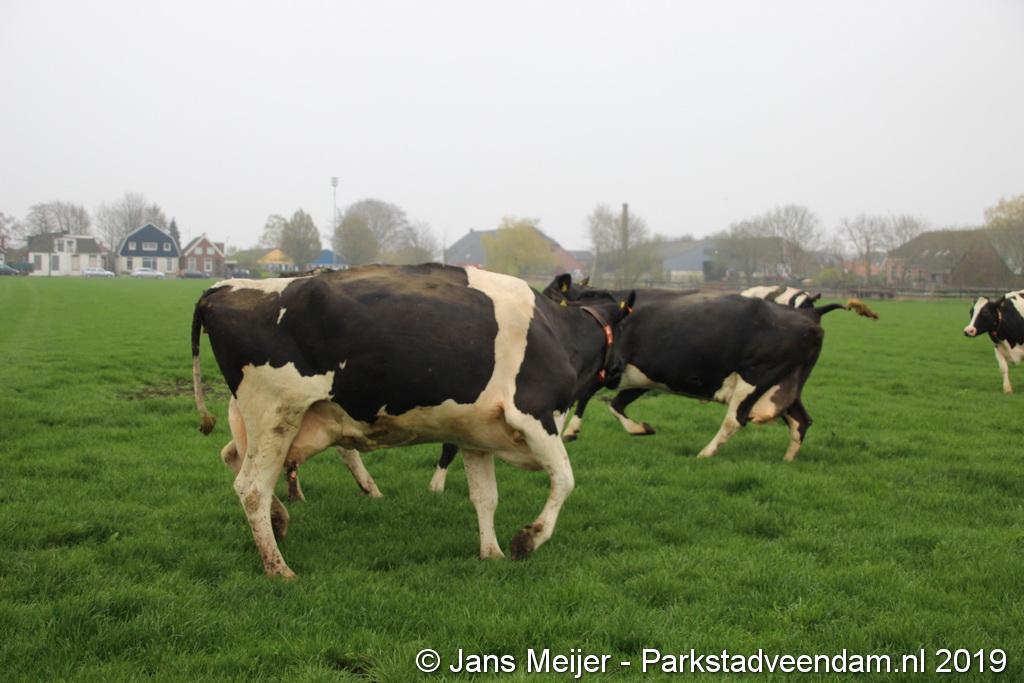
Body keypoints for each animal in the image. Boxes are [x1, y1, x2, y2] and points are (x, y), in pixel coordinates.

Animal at [191, 264, 634, 577]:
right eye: (626, 323)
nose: (621, 369)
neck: (557, 333)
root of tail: (221, 288)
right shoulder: (535, 415)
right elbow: (565, 480)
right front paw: (527, 540)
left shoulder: (476, 435)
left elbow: (485, 497)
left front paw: (490, 553)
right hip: (276, 412)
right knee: (252, 488)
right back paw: (279, 569)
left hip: (257, 418)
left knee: (233, 459)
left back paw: (280, 521)